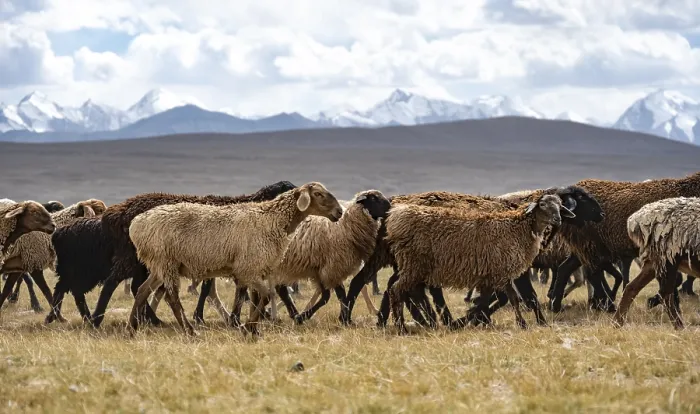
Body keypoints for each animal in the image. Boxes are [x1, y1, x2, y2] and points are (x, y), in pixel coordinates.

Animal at [127, 182, 344, 336]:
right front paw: (248, 327)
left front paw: (251, 328)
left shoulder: (254, 269)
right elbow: (265, 296)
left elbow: (252, 299)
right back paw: (190, 330)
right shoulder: (249, 267)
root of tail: (136, 224)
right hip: (166, 261)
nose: (340, 212)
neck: (272, 218)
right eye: (318, 194)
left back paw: (131, 329)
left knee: (142, 291)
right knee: (171, 297)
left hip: (158, 264)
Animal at [385, 194, 574, 334]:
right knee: (396, 290)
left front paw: (473, 320)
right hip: (413, 265)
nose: (558, 220)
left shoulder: (490, 275)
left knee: (407, 291)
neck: (518, 228)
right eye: (542, 204)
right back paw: (401, 327)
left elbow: (484, 301)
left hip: (415, 267)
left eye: (560, 206)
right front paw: (521, 323)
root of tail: (397, 217)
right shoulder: (501, 271)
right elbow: (513, 299)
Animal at [548, 171, 700, 314]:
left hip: (583, 247)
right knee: (592, 273)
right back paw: (608, 305)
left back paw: (556, 305)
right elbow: (676, 279)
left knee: (565, 268)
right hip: (588, 244)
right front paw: (654, 301)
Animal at [613, 197, 700, 329]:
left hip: (654, 261)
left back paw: (617, 323)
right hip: (667, 259)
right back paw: (680, 326)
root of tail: (635, 219)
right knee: (665, 294)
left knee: (631, 287)